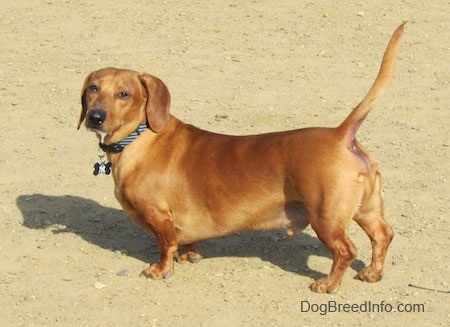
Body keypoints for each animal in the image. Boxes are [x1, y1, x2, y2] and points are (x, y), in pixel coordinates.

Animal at [79, 23, 406, 294]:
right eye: (93, 88)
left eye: (124, 94)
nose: (95, 117)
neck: (140, 139)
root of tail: (341, 135)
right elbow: (187, 241)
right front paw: (190, 254)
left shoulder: (159, 217)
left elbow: (165, 245)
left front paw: (160, 270)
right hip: (366, 209)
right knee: (382, 236)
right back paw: (372, 273)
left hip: (325, 217)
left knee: (346, 250)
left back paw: (328, 285)